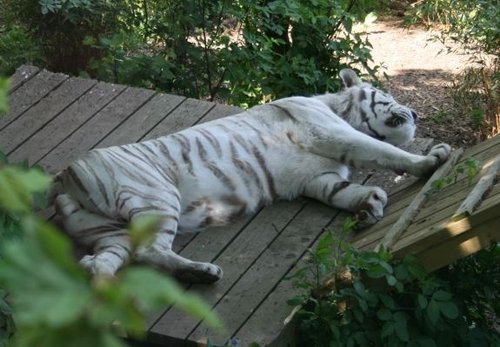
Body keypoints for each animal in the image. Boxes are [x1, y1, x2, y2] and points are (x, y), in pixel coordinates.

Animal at [49, 69, 450, 284]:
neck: (336, 108)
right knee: (150, 251)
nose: (416, 112)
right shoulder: (333, 133)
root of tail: (64, 178)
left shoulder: (318, 177)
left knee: (107, 263)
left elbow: (345, 190)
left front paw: (370, 206)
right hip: (155, 198)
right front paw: (432, 159)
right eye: (386, 95)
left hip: (110, 233)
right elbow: (387, 152)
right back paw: (204, 272)